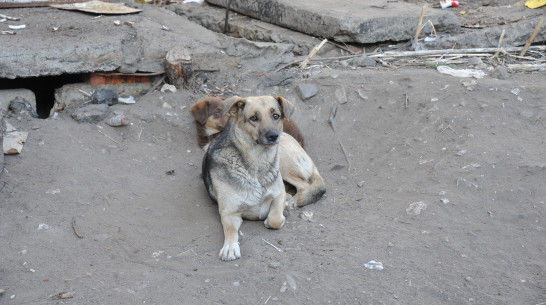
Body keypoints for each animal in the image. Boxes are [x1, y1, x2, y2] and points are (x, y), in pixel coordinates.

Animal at [201, 96, 294, 260]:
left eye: (276, 115)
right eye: (253, 118)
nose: (273, 136)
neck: (258, 162)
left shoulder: (279, 194)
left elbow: (275, 219)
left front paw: (279, 215)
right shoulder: (229, 212)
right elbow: (230, 230)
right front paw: (230, 247)